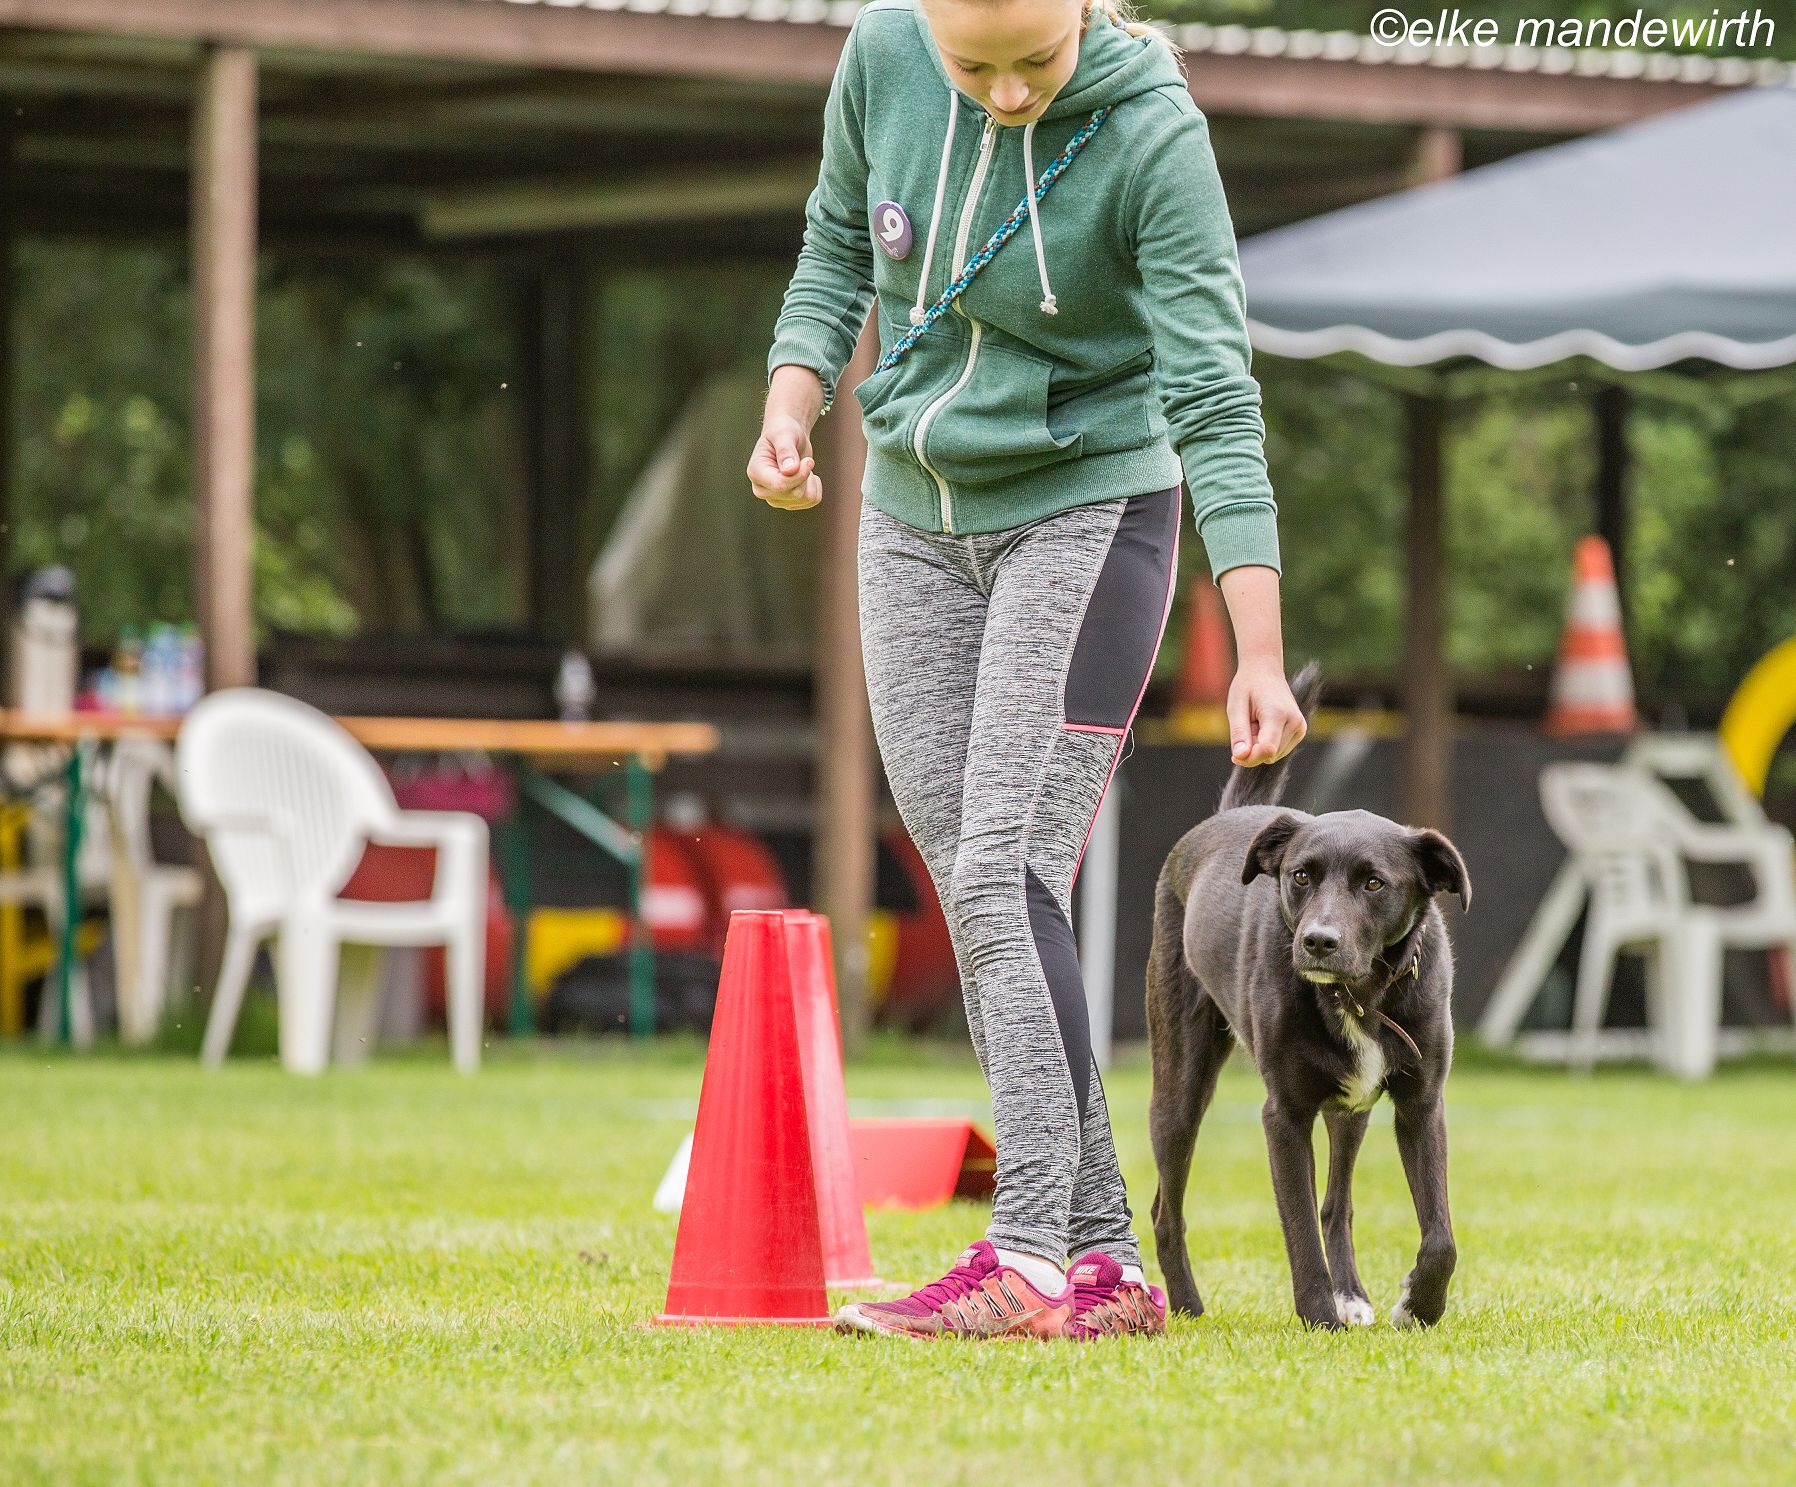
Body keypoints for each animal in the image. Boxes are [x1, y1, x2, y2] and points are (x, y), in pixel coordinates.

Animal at [1146, 665, 1469, 1331]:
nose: (1318, 941)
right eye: (1301, 876)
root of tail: (1227, 817)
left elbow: (1440, 1236)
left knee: (1336, 1205)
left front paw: (1417, 1305)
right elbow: (1296, 1228)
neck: (1359, 995)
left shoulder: (1421, 1105)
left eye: (1374, 883)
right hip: (1181, 1086)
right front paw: (1320, 1315)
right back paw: (1188, 1308)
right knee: (1167, 1208)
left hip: (1352, 1111)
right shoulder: (1285, 1115)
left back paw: (1354, 1295)